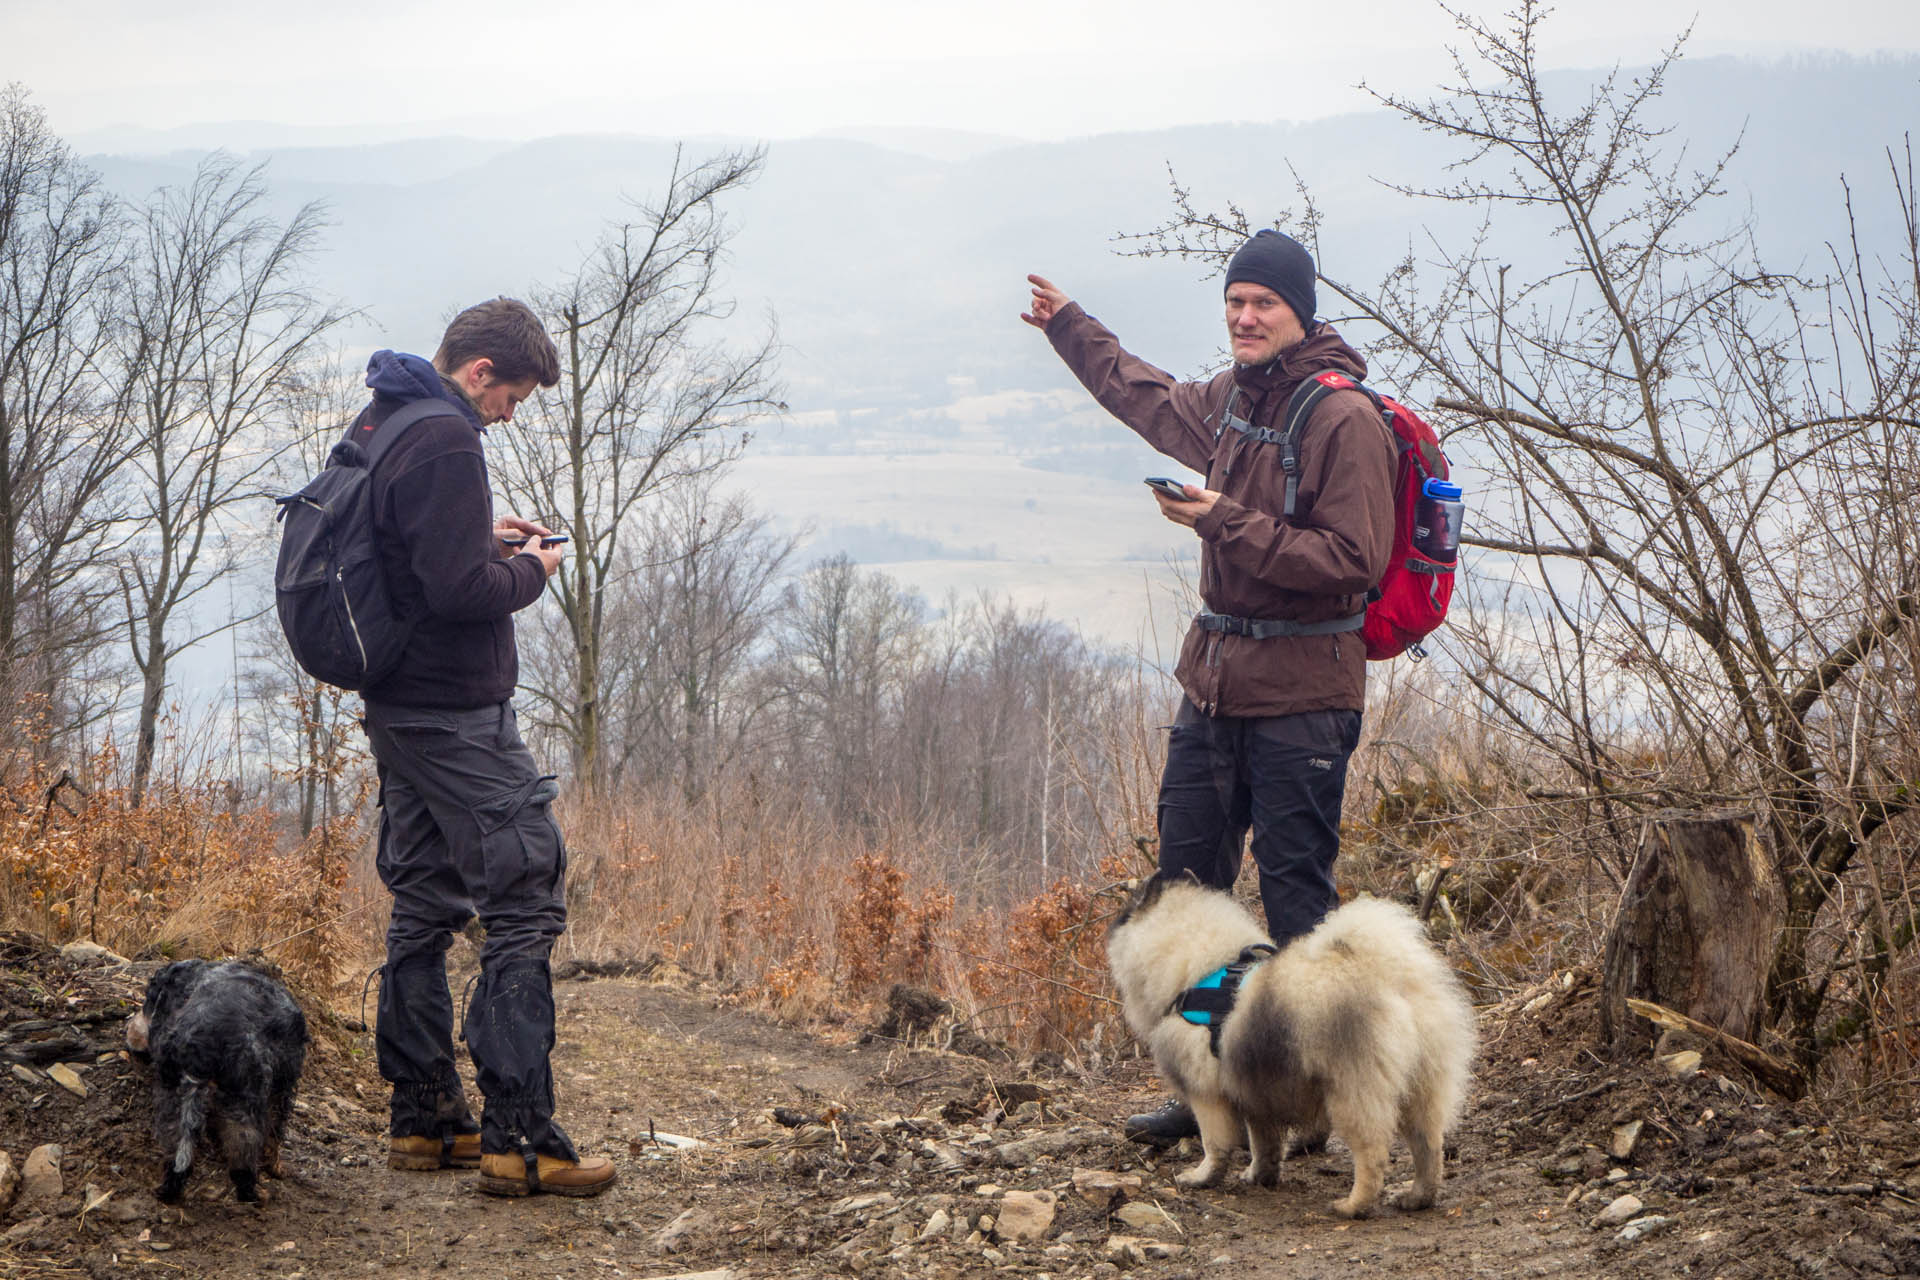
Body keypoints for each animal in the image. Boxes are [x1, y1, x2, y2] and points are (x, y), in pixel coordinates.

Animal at [125, 959, 307, 1205]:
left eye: (148, 999)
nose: (129, 1029)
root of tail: (199, 1044)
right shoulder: (283, 1086)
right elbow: (275, 1132)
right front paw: (276, 1169)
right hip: (246, 1098)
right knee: (243, 1149)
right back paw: (254, 1194)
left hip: (172, 1093)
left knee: (174, 1144)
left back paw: (169, 1190)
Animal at [1105, 875, 1474, 1220]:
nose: (1116, 921)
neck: (1201, 972)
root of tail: (1394, 982)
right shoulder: (1254, 1092)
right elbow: (1263, 1143)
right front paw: (1259, 1175)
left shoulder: (1206, 1094)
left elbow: (1215, 1143)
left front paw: (1202, 1177)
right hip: (1422, 1088)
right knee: (1428, 1146)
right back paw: (1417, 1197)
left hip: (1353, 1092)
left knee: (1372, 1154)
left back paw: (1353, 1205)